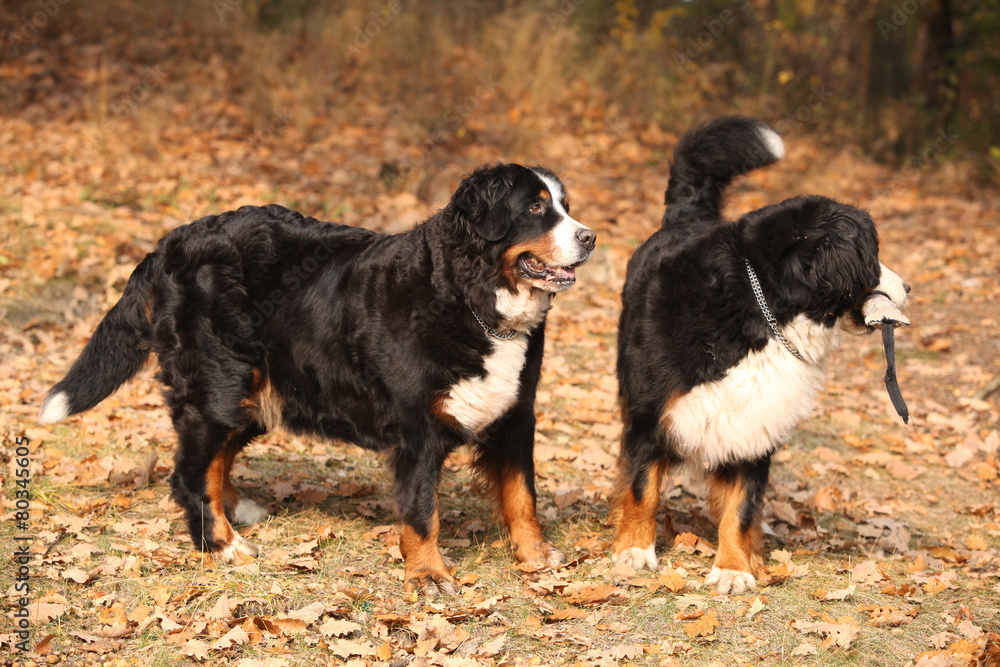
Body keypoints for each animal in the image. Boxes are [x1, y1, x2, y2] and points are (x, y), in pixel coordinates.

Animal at [41, 164, 592, 596]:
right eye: (536, 208)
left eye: (565, 206)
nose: (588, 236)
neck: (469, 297)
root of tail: (172, 241)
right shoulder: (417, 428)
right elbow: (422, 511)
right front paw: (429, 574)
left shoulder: (516, 414)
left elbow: (522, 496)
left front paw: (536, 556)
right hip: (220, 384)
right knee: (190, 472)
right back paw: (222, 544)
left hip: (256, 393)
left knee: (215, 459)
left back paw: (236, 510)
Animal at [612, 118, 912, 596]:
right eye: (873, 257)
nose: (908, 287)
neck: (759, 309)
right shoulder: (650, 411)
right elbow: (642, 487)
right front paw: (635, 549)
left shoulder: (755, 420)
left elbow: (743, 506)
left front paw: (734, 567)